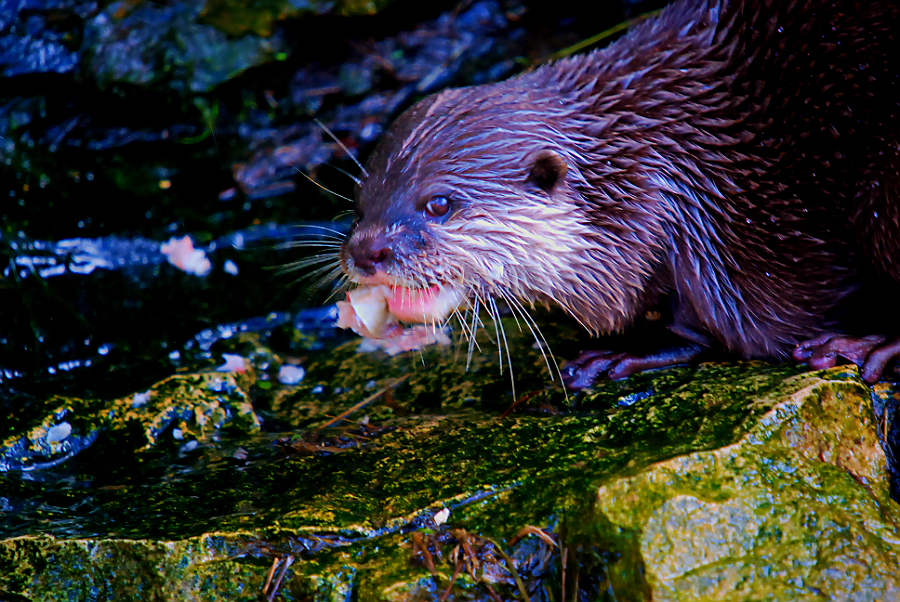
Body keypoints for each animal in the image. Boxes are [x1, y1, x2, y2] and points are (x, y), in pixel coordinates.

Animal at [339, 0, 900, 387]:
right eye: (360, 201)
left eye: (439, 204)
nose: (367, 252)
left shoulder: (730, 232)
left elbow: (748, 326)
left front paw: (622, 351)